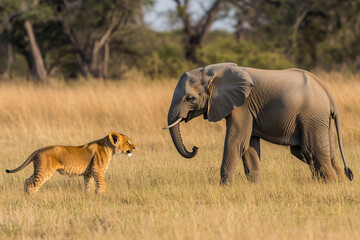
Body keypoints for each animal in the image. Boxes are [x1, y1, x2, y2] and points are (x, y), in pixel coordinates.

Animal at [5, 132, 135, 194]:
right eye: (128, 142)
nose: (134, 147)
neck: (109, 148)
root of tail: (40, 149)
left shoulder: (88, 173)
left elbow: (88, 186)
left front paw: (89, 196)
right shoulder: (98, 170)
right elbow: (102, 184)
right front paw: (101, 196)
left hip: (39, 169)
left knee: (27, 181)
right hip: (45, 171)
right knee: (33, 185)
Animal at [164, 62, 354, 184]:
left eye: (190, 99)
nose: (195, 147)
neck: (215, 70)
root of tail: (328, 94)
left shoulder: (242, 106)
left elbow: (236, 142)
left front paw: (225, 187)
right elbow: (249, 146)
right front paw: (255, 186)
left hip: (311, 116)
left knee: (312, 150)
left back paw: (330, 184)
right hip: (321, 120)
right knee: (320, 153)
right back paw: (337, 182)